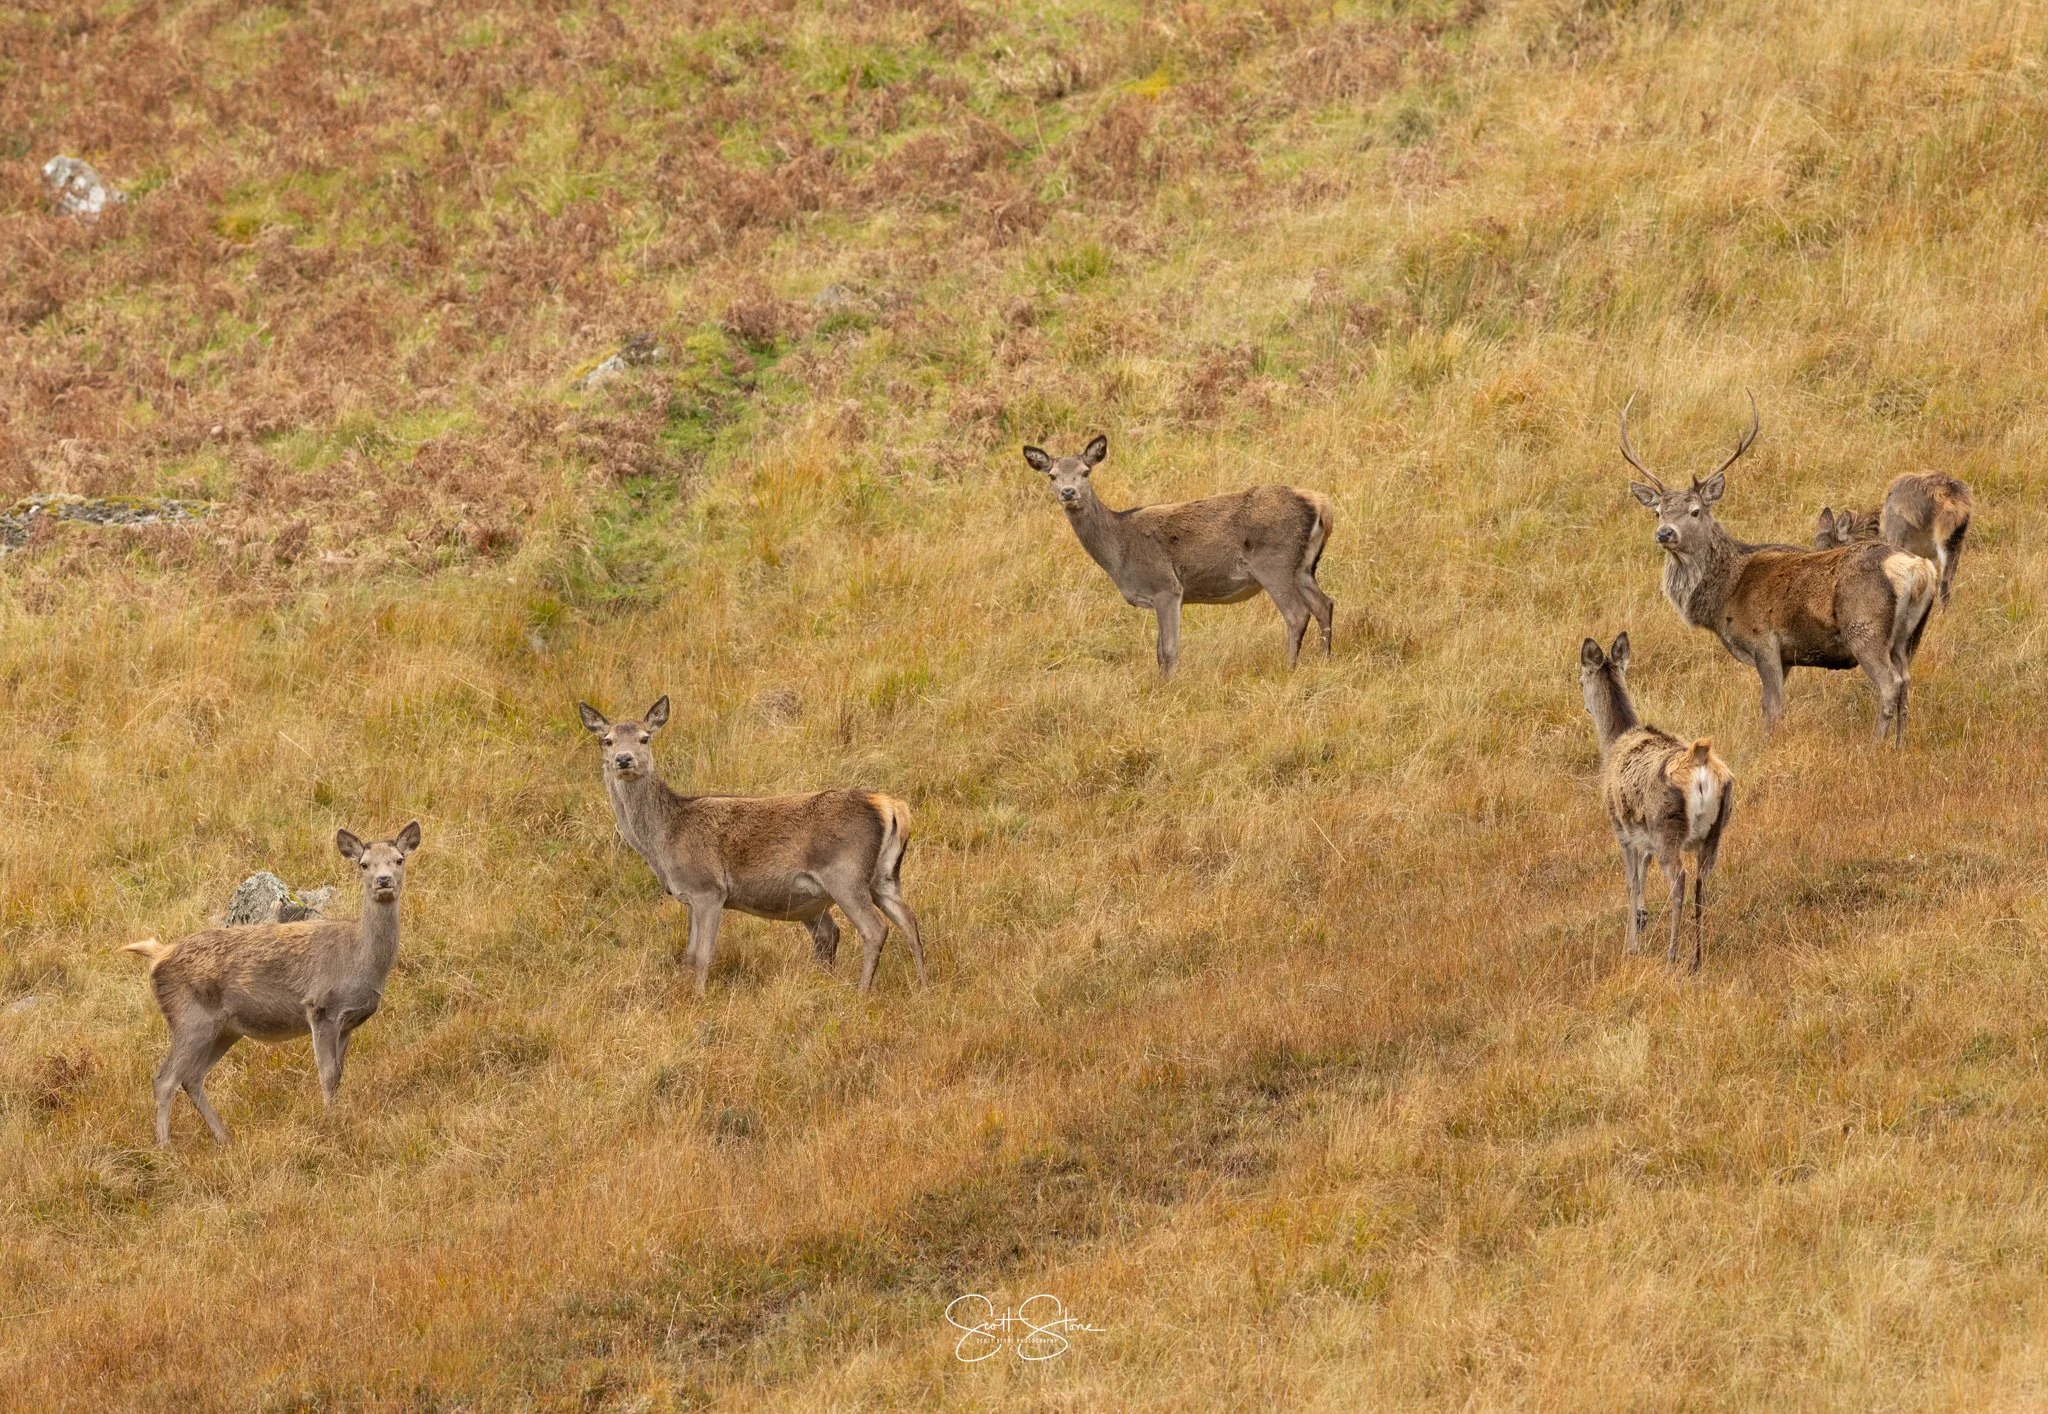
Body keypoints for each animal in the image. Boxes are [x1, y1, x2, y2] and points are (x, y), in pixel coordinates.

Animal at [122, 822, 421, 1146]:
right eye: (364, 864)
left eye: (399, 860)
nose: (383, 880)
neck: (359, 958)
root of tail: (158, 954)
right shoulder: (320, 1008)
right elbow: (327, 1074)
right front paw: (330, 1122)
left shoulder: (349, 1022)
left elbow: (339, 1074)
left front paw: (338, 1114)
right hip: (189, 1017)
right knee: (165, 1079)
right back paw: (165, 1148)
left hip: (224, 1029)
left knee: (192, 1077)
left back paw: (224, 1138)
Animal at [578, 697, 924, 995]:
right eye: (606, 740)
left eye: (645, 738)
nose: (624, 759)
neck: (664, 839)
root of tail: (891, 805)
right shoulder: (690, 896)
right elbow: (688, 955)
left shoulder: (708, 887)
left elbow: (702, 954)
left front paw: (699, 998)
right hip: (885, 876)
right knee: (909, 920)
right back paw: (924, 984)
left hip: (845, 873)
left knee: (875, 928)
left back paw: (862, 991)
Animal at [1021, 434, 1334, 676]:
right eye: (1052, 475)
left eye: (1086, 471)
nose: (1068, 492)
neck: (1119, 551)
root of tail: (1321, 504)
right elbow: (1159, 653)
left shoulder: (1166, 587)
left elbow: (1169, 651)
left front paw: (1168, 688)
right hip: (1303, 567)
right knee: (1325, 604)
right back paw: (1325, 660)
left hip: (1273, 562)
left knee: (1297, 613)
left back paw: (1289, 668)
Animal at [1579, 633, 1733, 970]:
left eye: (1579, 679)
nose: (1585, 705)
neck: (1614, 743)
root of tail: (1700, 759)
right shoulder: (1643, 835)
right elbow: (1643, 873)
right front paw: (1641, 920)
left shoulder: (1620, 827)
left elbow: (1632, 882)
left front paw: (1631, 945)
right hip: (1716, 829)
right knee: (1702, 883)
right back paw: (1696, 958)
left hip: (1667, 827)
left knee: (1679, 881)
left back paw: (1672, 956)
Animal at [1622, 393, 1937, 746]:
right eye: (1657, 512)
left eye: (1695, 511)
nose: (1665, 533)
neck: (1726, 594)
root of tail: (1919, 569)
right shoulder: (1786, 656)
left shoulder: (1764, 642)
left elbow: (1772, 708)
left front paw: (1765, 745)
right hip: (1907, 635)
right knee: (1906, 681)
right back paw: (1898, 745)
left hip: (1865, 628)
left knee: (1890, 684)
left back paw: (1875, 746)